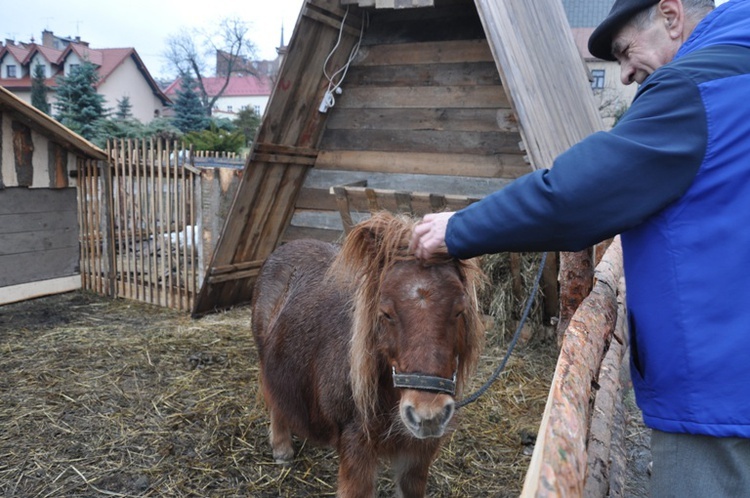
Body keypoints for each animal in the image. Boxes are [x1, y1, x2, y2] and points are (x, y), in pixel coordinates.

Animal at [253, 212, 484, 496]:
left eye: (460, 310)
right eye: (386, 313)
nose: (428, 415)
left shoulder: (417, 455)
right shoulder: (357, 450)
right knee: (274, 394)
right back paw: (282, 448)